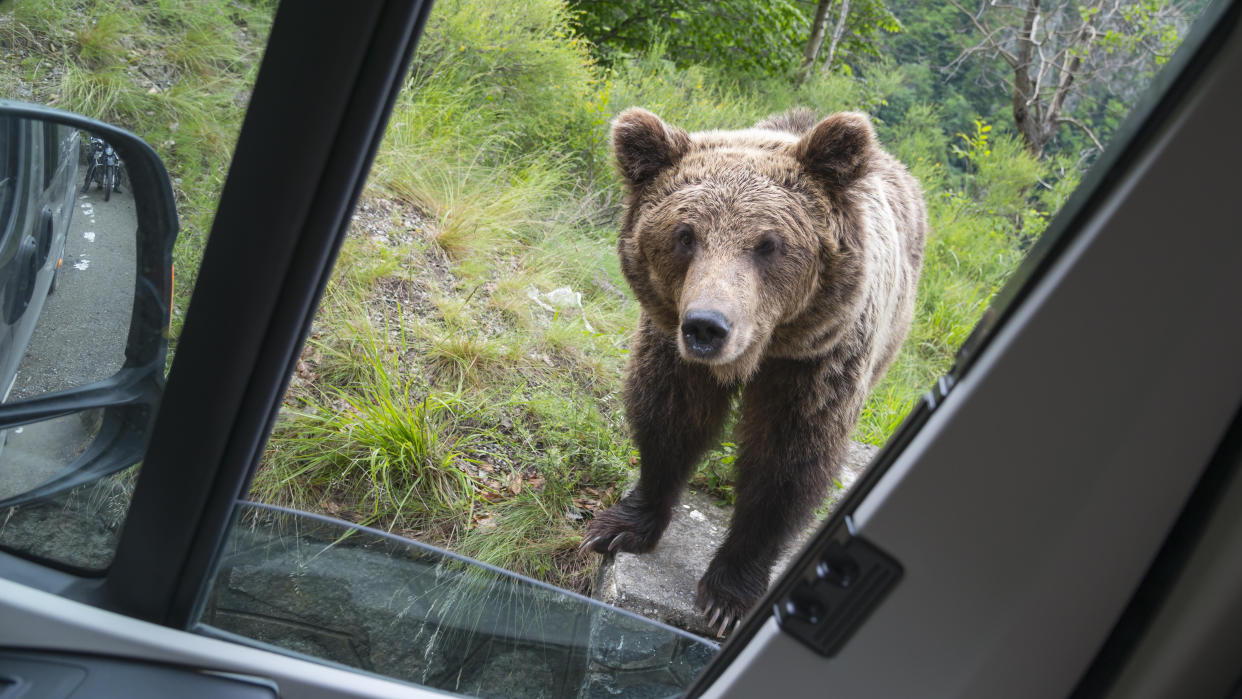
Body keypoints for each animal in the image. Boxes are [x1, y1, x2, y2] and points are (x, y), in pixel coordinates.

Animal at [578, 106, 924, 635]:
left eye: (768, 244)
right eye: (685, 235)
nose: (707, 326)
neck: (762, 350)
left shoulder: (815, 363)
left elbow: (787, 461)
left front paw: (728, 597)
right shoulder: (674, 349)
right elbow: (668, 417)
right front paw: (619, 527)